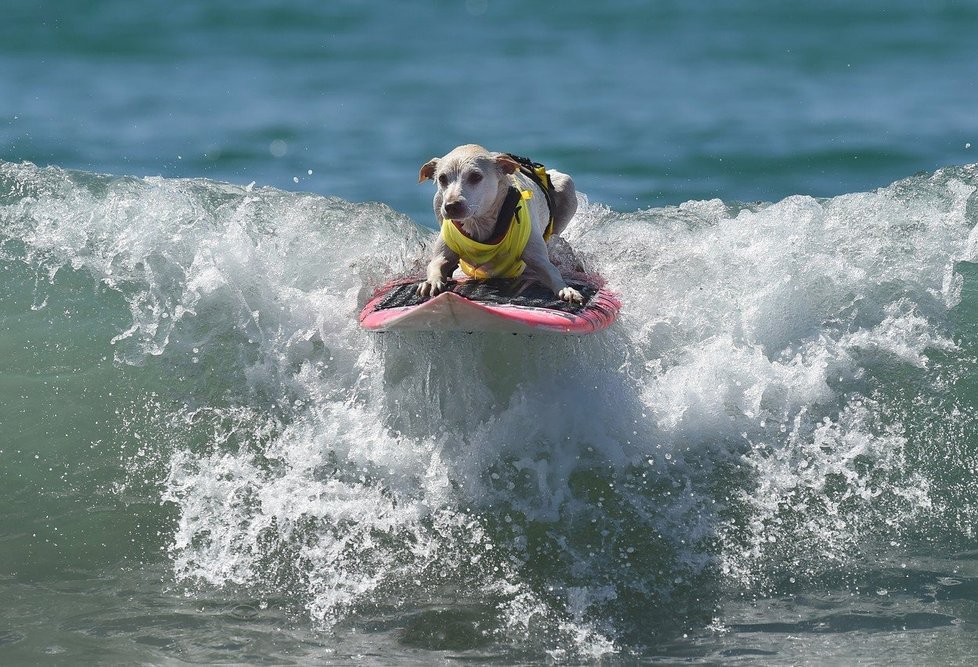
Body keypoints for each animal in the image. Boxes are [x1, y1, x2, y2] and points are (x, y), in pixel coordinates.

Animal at [414, 146, 580, 306]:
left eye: (475, 176)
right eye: (442, 178)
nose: (451, 206)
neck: (479, 223)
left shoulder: (536, 255)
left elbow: (550, 270)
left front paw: (566, 289)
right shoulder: (444, 248)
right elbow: (436, 263)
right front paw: (431, 282)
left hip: (566, 185)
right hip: (437, 202)